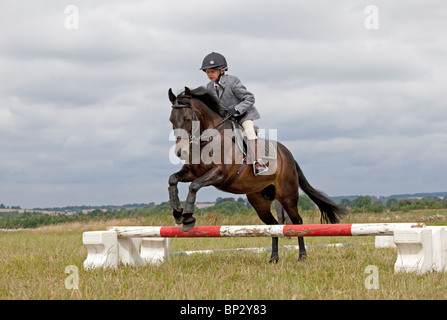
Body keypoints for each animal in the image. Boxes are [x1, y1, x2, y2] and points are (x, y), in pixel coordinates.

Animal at [168, 86, 346, 262]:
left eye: (187, 119)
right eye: (171, 120)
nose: (181, 152)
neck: (209, 138)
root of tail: (288, 155)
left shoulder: (220, 174)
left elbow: (194, 185)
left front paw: (187, 218)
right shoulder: (192, 172)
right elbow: (173, 180)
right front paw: (177, 212)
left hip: (287, 196)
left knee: (297, 221)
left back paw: (302, 256)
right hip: (259, 201)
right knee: (273, 226)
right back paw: (274, 258)